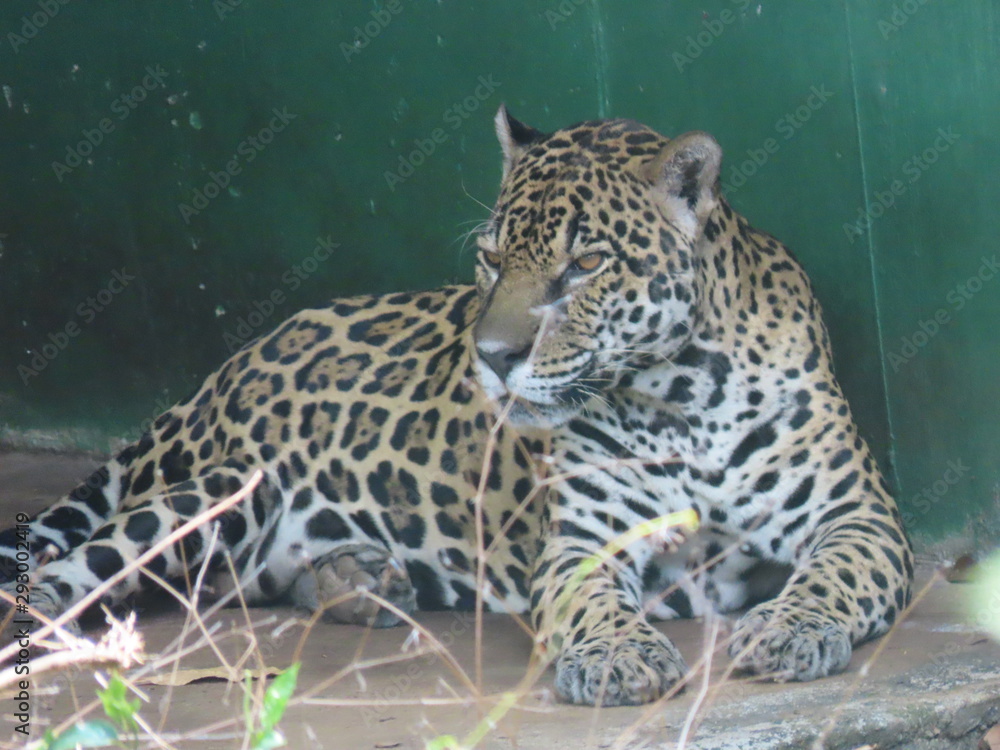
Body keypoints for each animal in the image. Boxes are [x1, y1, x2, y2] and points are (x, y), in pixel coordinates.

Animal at [0, 106, 913, 707]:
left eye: (585, 265)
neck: (677, 394)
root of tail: (214, 375)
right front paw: (618, 659)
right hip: (218, 489)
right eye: (491, 258)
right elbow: (593, 604)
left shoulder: (859, 517)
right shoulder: (583, 543)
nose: (495, 359)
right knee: (65, 575)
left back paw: (359, 581)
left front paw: (793, 629)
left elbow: (832, 573)